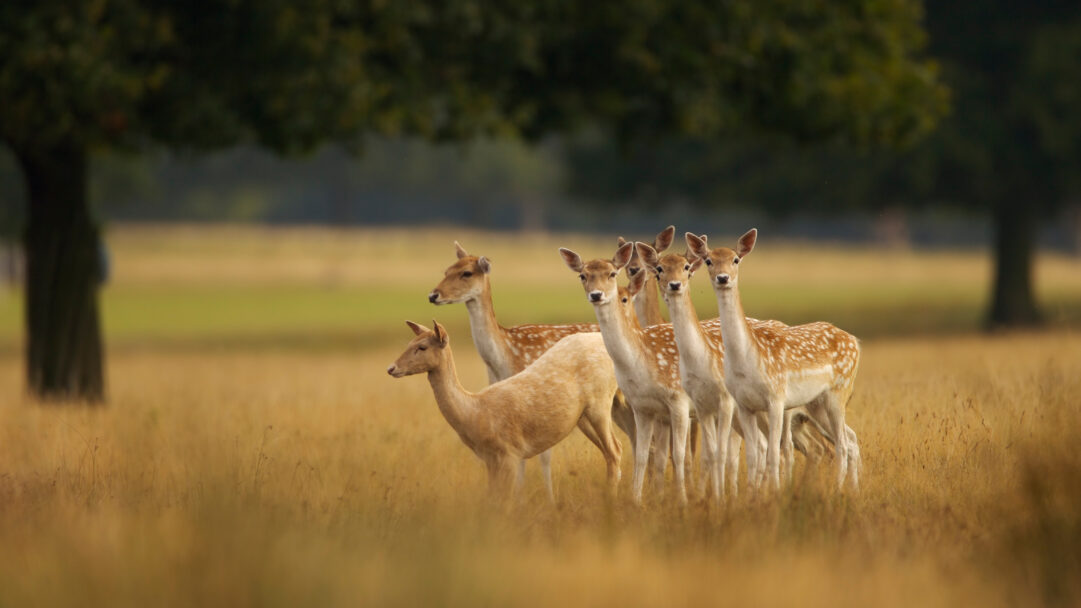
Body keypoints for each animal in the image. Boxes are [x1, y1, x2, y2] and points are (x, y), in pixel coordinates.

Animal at [387, 321, 623, 499]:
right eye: (409, 342)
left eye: (422, 347)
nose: (391, 368)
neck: (475, 413)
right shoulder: (490, 459)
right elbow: (492, 498)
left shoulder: (510, 452)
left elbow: (504, 501)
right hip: (582, 416)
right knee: (612, 450)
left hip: (600, 402)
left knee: (614, 450)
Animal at [686, 230, 862, 490]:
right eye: (709, 260)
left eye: (736, 259)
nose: (723, 278)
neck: (748, 360)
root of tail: (855, 341)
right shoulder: (744, 404)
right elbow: (752, 455)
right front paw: (753, 495)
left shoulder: (776, 398)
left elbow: (772, 454)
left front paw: (775, 493)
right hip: (817, 403)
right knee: (848, 440)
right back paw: (852, 488)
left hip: (839, 391)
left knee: (841, 443)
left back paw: (838, 490)